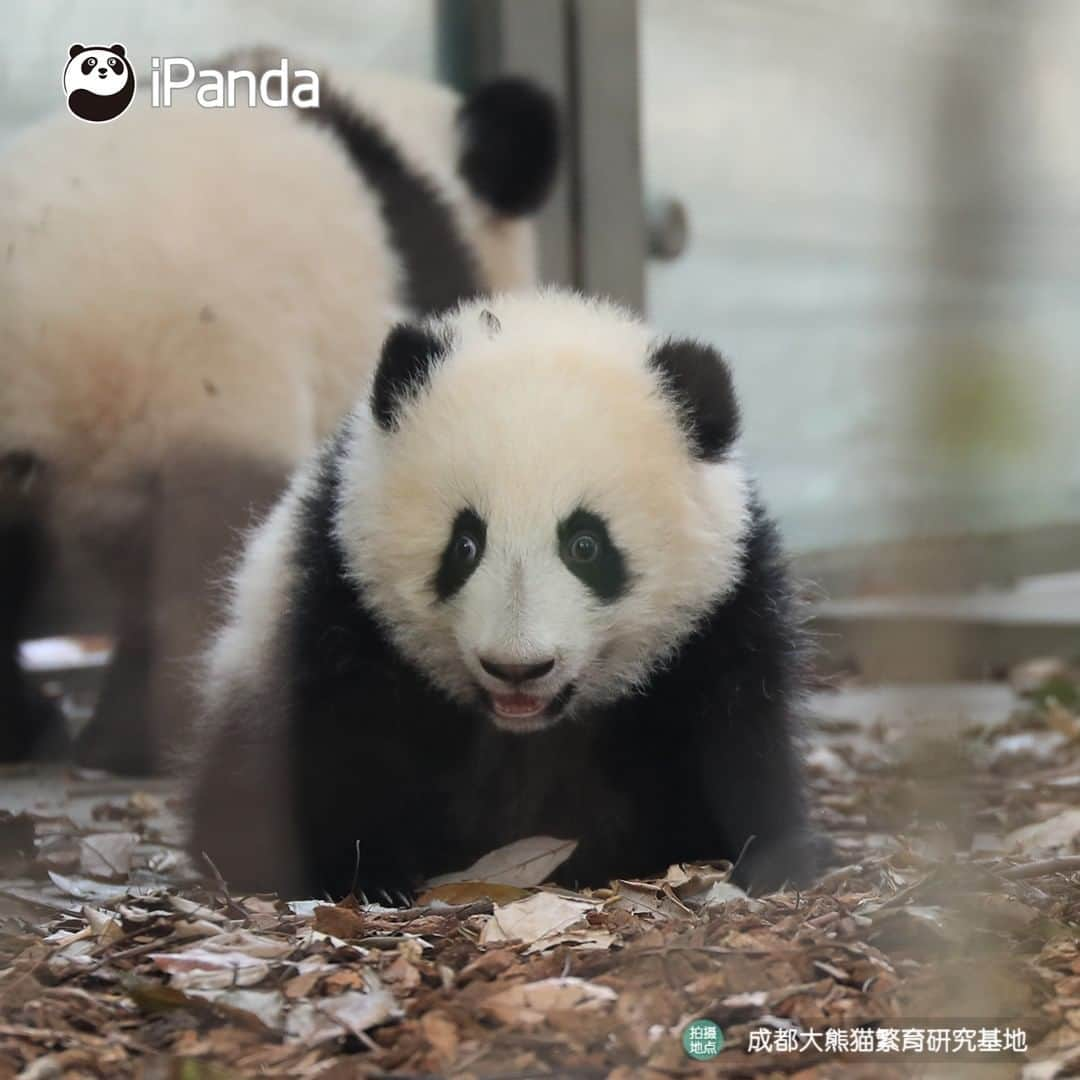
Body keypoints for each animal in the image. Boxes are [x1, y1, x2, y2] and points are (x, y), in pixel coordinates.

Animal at [190, 291, 825, 898]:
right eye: (465, 544)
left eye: (586, 545)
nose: (517, 668)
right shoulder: (339, 591)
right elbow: (345, 737)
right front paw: (368, 872)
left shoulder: (724, 605)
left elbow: (735, 728)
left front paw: (774, 858)